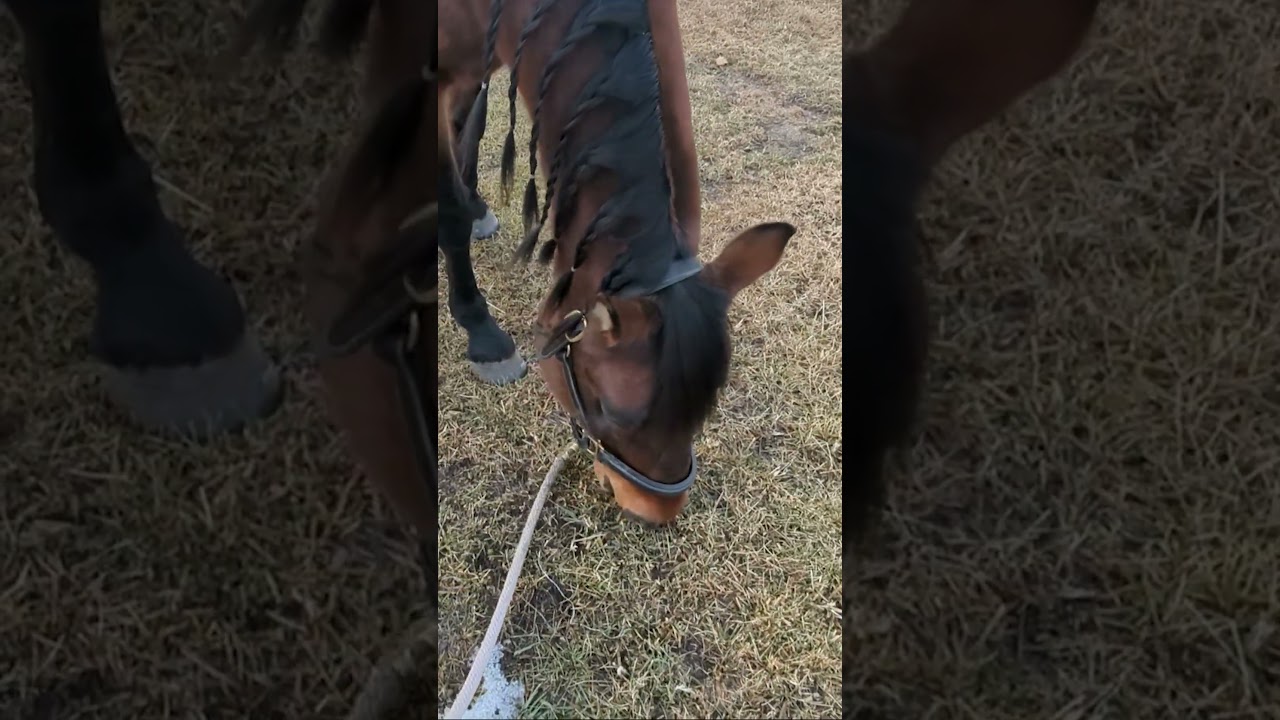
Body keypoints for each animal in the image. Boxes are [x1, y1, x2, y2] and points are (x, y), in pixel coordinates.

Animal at [436, 0, 796, 525]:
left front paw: (476, 207)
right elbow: (448, 207)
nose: (656, 512)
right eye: (609, 409)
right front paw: (481, 331)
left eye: (706, 406)